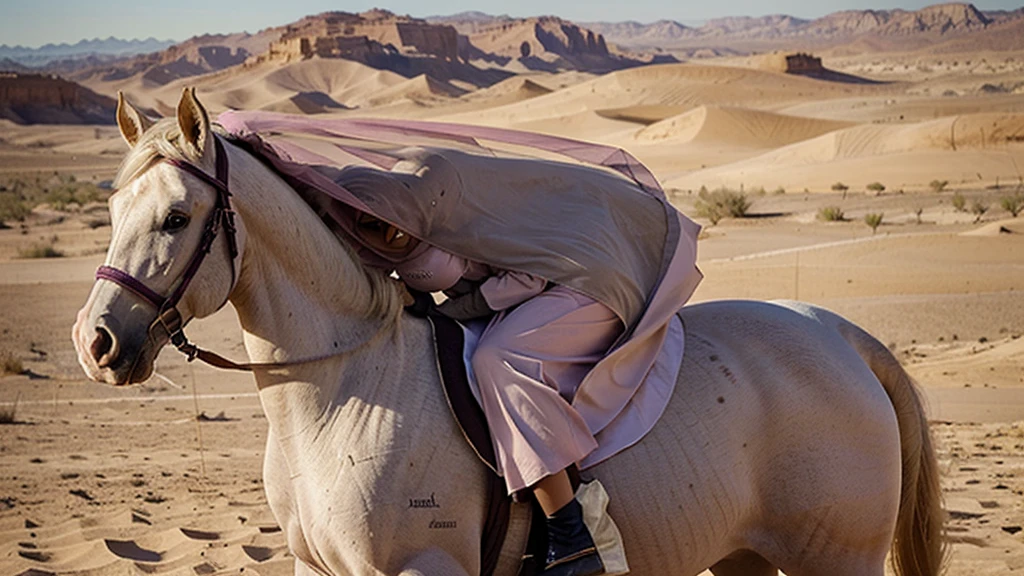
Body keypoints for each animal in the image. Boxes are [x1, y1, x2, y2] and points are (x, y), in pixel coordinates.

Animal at [72, 87, 942, 569]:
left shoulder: (425, 566)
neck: (346, 392)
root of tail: (844, 337)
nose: (96, 343)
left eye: (177, 218)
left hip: (837, 559)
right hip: (745, 559)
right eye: (111, 212)